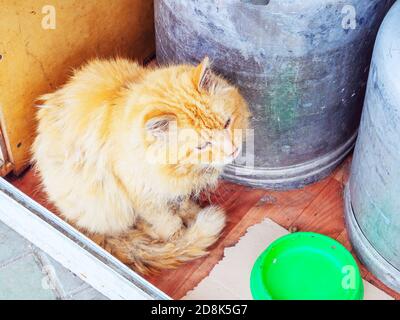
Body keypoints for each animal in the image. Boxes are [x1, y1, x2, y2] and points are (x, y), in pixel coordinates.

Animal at [32, 57, 250, 272]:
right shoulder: (143, 196)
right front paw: (179, 240)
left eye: (227, 123)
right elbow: (169, 224)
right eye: (202, 146)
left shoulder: (172, 189)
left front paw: (192, 213)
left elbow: (182, 203)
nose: (233, 149)